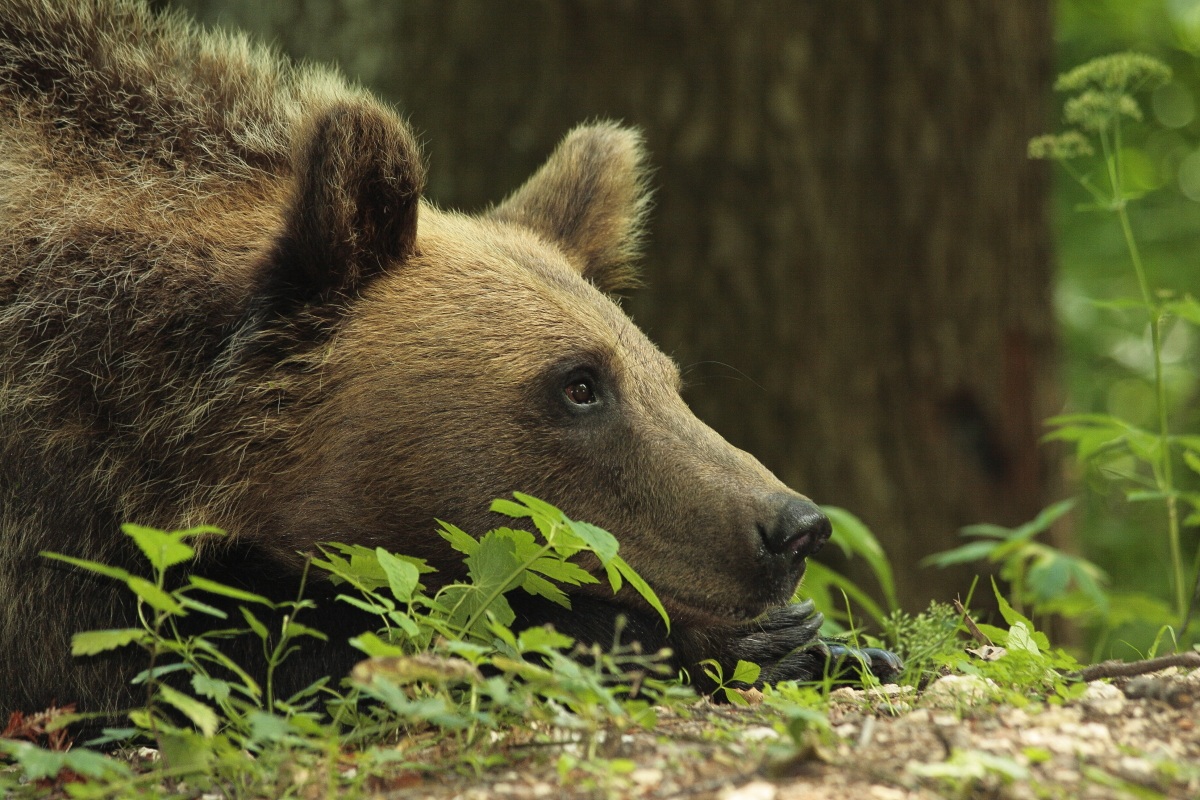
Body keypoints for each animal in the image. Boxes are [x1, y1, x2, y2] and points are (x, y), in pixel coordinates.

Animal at [0, 0, 899, 717]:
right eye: (580, 384)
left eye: (667, 381)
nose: (792, 527)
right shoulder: (54, 512)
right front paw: (742, 641)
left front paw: (834, 642)